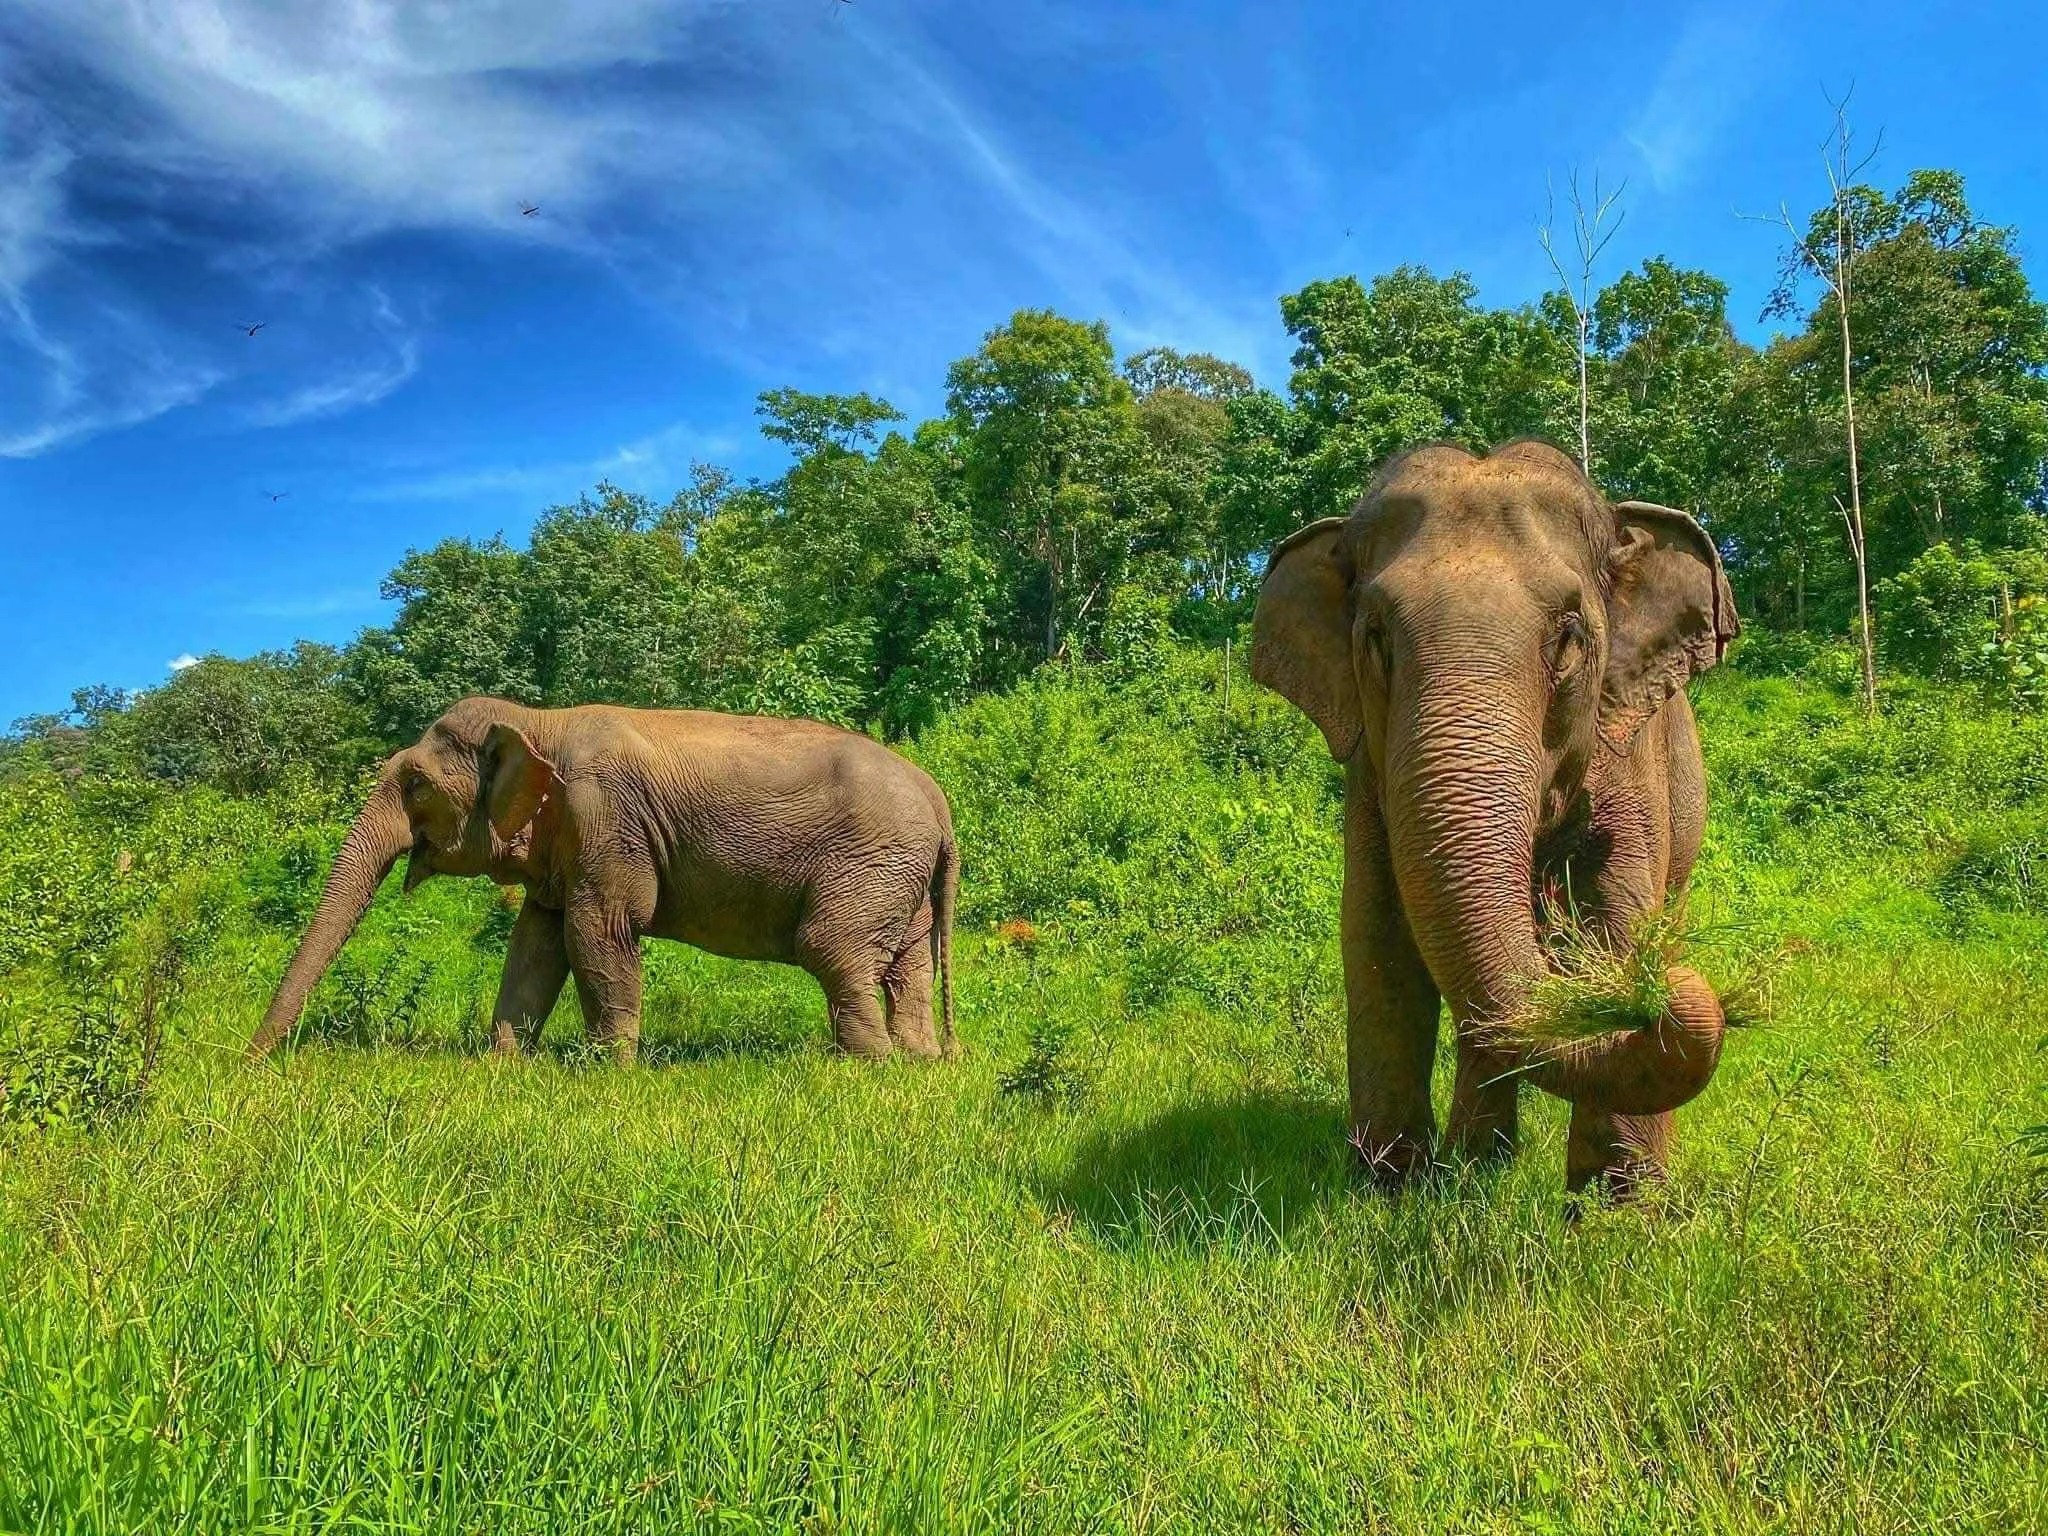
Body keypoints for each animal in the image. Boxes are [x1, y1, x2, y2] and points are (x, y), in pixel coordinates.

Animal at [249, 698, 958, 1064]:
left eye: (416, 785)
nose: (250, 1062)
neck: (538, 719)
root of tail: (939, 799)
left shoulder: (605, 820)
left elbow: (599, 933)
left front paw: (605, 1072)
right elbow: (535, 944)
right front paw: (506, 1064)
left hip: (871, 862)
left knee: (834, 951)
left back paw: (865, 1069)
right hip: (902, 877)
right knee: (908, 966)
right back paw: (920, 1062)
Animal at [1251, 440, 1739, 1197]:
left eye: (1569, 638)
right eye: (1376, 638)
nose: (1667, 995)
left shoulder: (1629, 746)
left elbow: (1619, 908)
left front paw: (1617, 1207)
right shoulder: (1369, 766)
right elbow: (1378, 929)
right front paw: (1390, 1192)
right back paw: (1479, 1168)